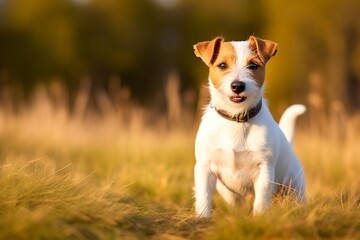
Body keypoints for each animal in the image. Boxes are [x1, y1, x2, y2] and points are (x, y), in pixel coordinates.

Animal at [193, 35, 306, 218]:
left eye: (253, 66)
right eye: (222, 65)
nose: (237, 86)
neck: (236, 119)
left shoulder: (264, 170)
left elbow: (261, 199)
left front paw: (260, 218)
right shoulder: (205, 167)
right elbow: (203, 197)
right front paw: (202, 217)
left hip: (295, 187)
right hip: (227, 192)